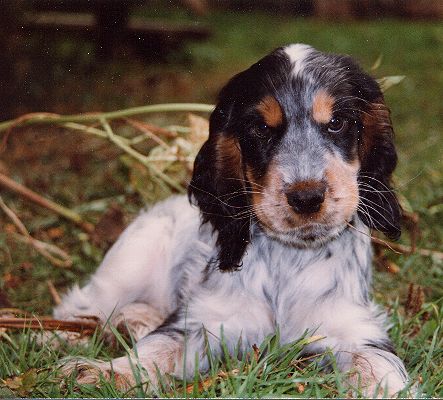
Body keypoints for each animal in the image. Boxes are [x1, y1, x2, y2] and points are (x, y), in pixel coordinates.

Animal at [54, 44, 409, 396]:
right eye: (261, 129)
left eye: (337, 122)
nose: (307, 198)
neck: (291, 257)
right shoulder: (203, 321)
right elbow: (156, 347)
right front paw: (104, 372)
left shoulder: (356, 330)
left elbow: (381, 372)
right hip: (131, 259)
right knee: (82, 305)